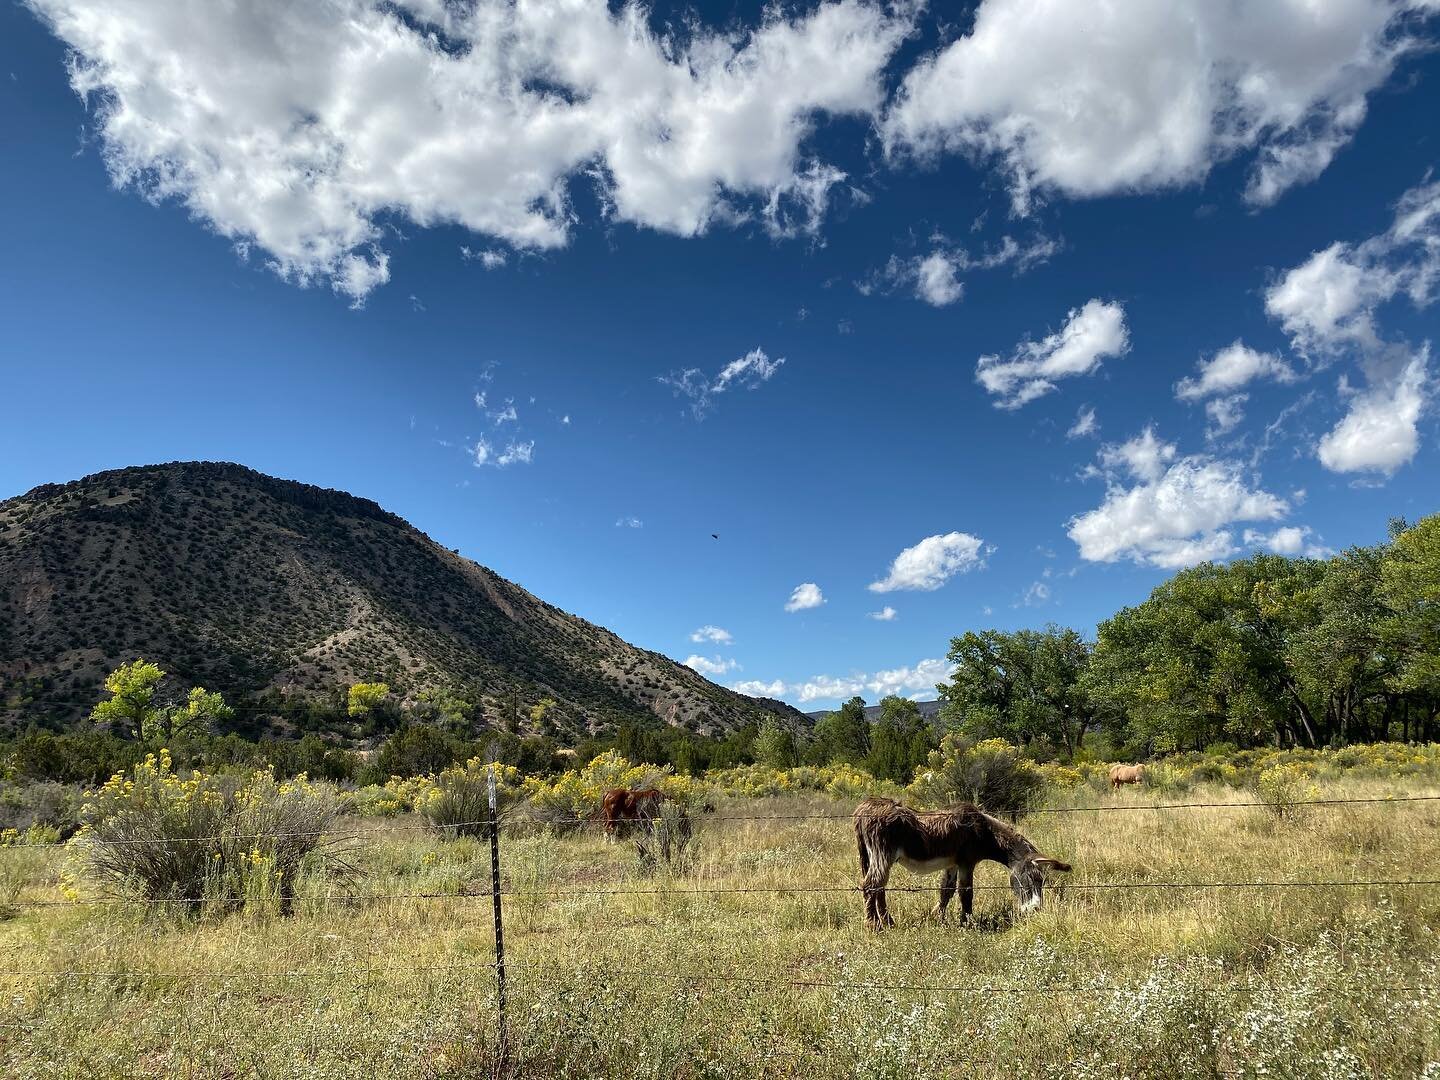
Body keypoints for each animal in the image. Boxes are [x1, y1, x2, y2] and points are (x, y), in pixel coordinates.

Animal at [852, 794, 1071, 933]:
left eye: (1042, 881)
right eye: (1032, 878)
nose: (1035, 910)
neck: (985, 831)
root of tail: (864, 808)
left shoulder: (952, 863)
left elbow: (946, 891)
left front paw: (938, 918)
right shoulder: (967, 862)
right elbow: (966, 893)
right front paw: (967, 923)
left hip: (878, 857)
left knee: (879, 887)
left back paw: (887, 922)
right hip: (883, 853)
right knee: (870, 885)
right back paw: (874, 926)